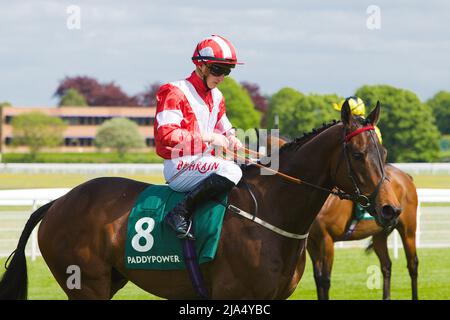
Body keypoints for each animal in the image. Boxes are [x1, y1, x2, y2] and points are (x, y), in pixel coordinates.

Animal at [0, 101, 400, 298]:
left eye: (382, 150)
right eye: (358, 155)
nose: (390, 208)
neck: (270, 215)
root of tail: (58, 202)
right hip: (86, 284)